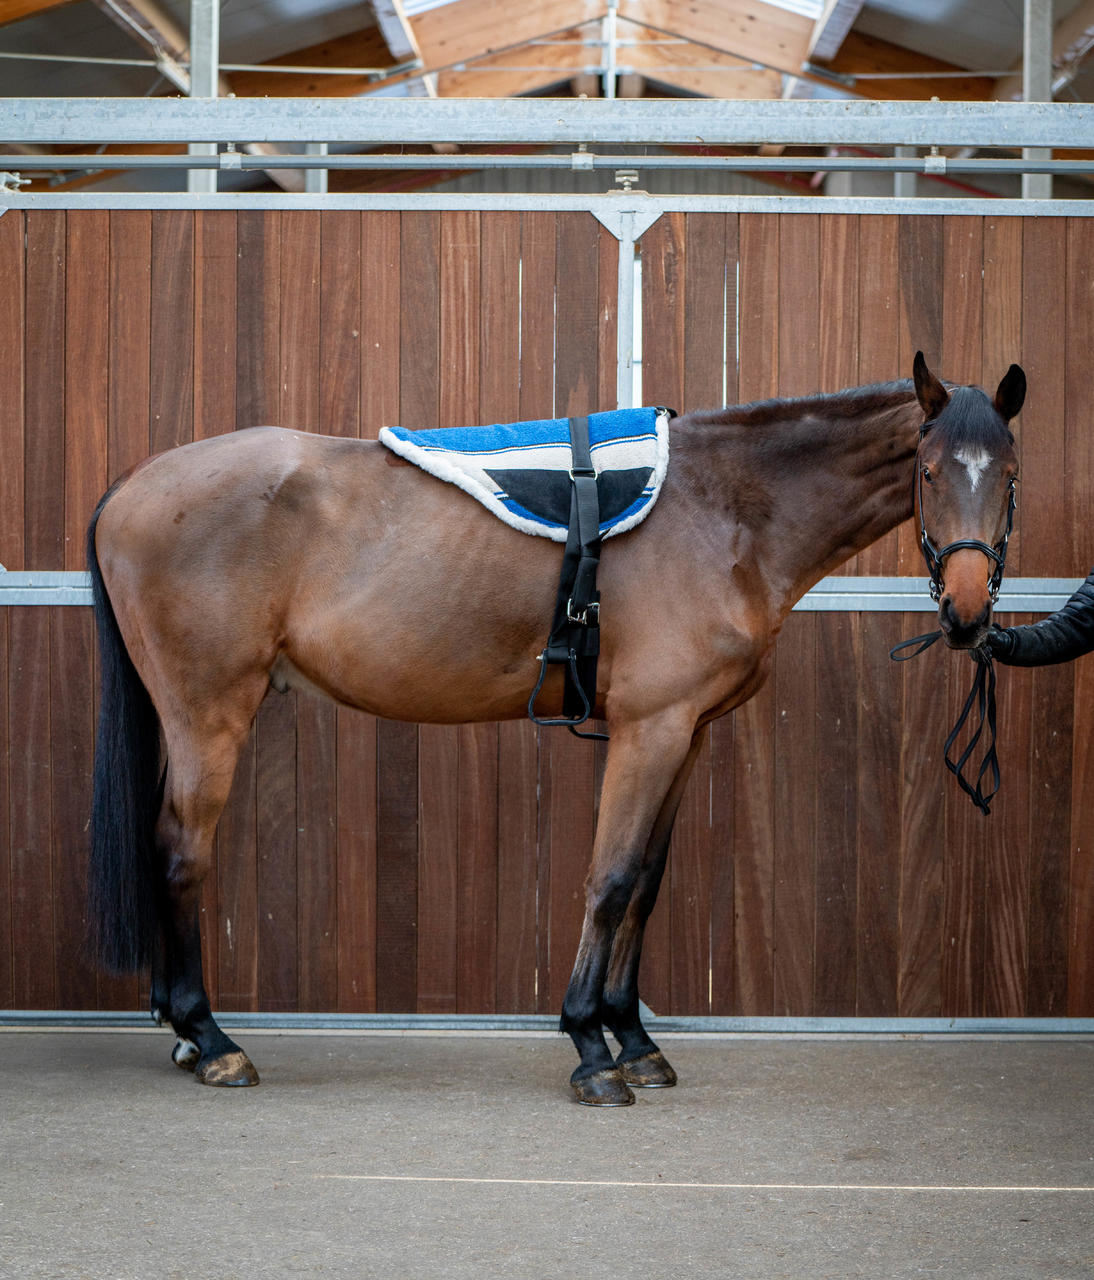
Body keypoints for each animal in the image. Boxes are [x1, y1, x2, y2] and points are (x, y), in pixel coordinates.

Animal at [87, 350, 1028, 1100]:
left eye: (1010, 476)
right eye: (931, 470)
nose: (968, 615)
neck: (721, 508)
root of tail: (135, 484)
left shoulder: (687, 733)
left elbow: (645, 883)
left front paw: (635, 1039)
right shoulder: (650, 728)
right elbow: (609, 879)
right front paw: (590, 1046)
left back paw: (185, 1033)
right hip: (207, 715)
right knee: (180, 852)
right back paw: (212, 1040)